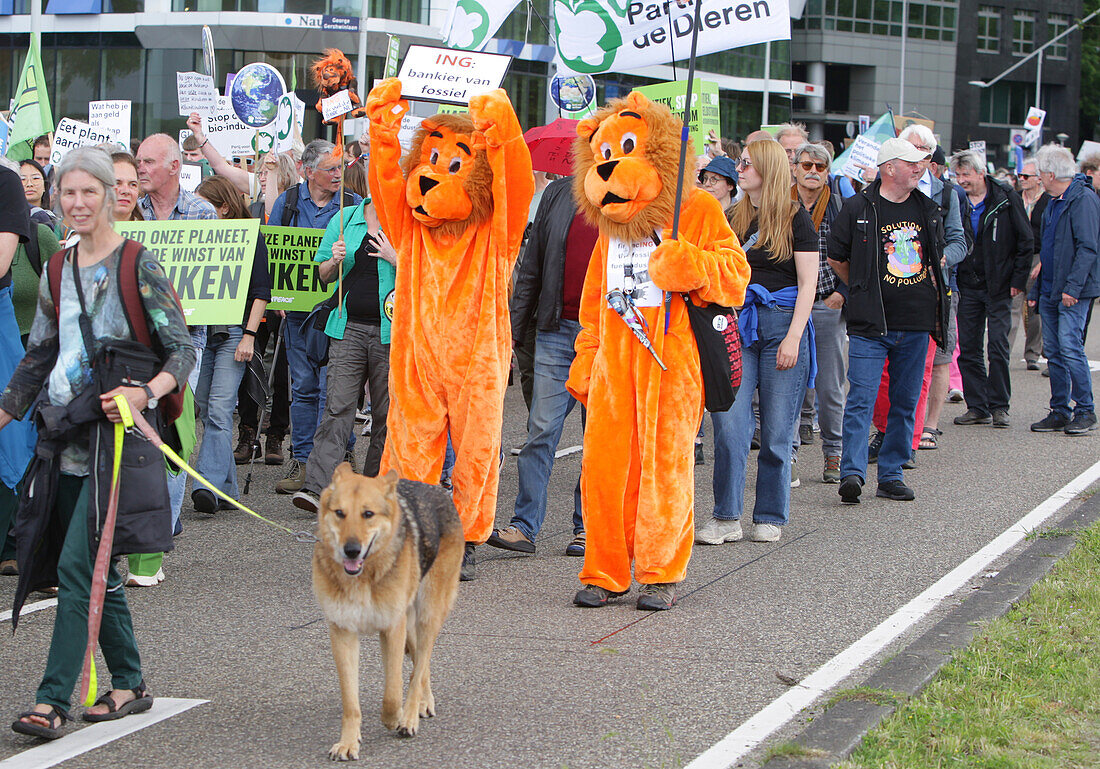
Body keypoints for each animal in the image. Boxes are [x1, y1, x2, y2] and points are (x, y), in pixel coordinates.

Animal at [312, 466, 462, 761]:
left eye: (368, 514)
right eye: (340, 513)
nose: (351, 550)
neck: (362, 578)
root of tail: (438, 489)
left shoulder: (392, 628)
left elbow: (393, 693)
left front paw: (396, 719)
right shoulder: (343, 633)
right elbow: (351, 701)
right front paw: (349, 742)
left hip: (428, 614)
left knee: (420, 664)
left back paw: (411, 714)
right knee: (419, 664)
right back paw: (423, 702)